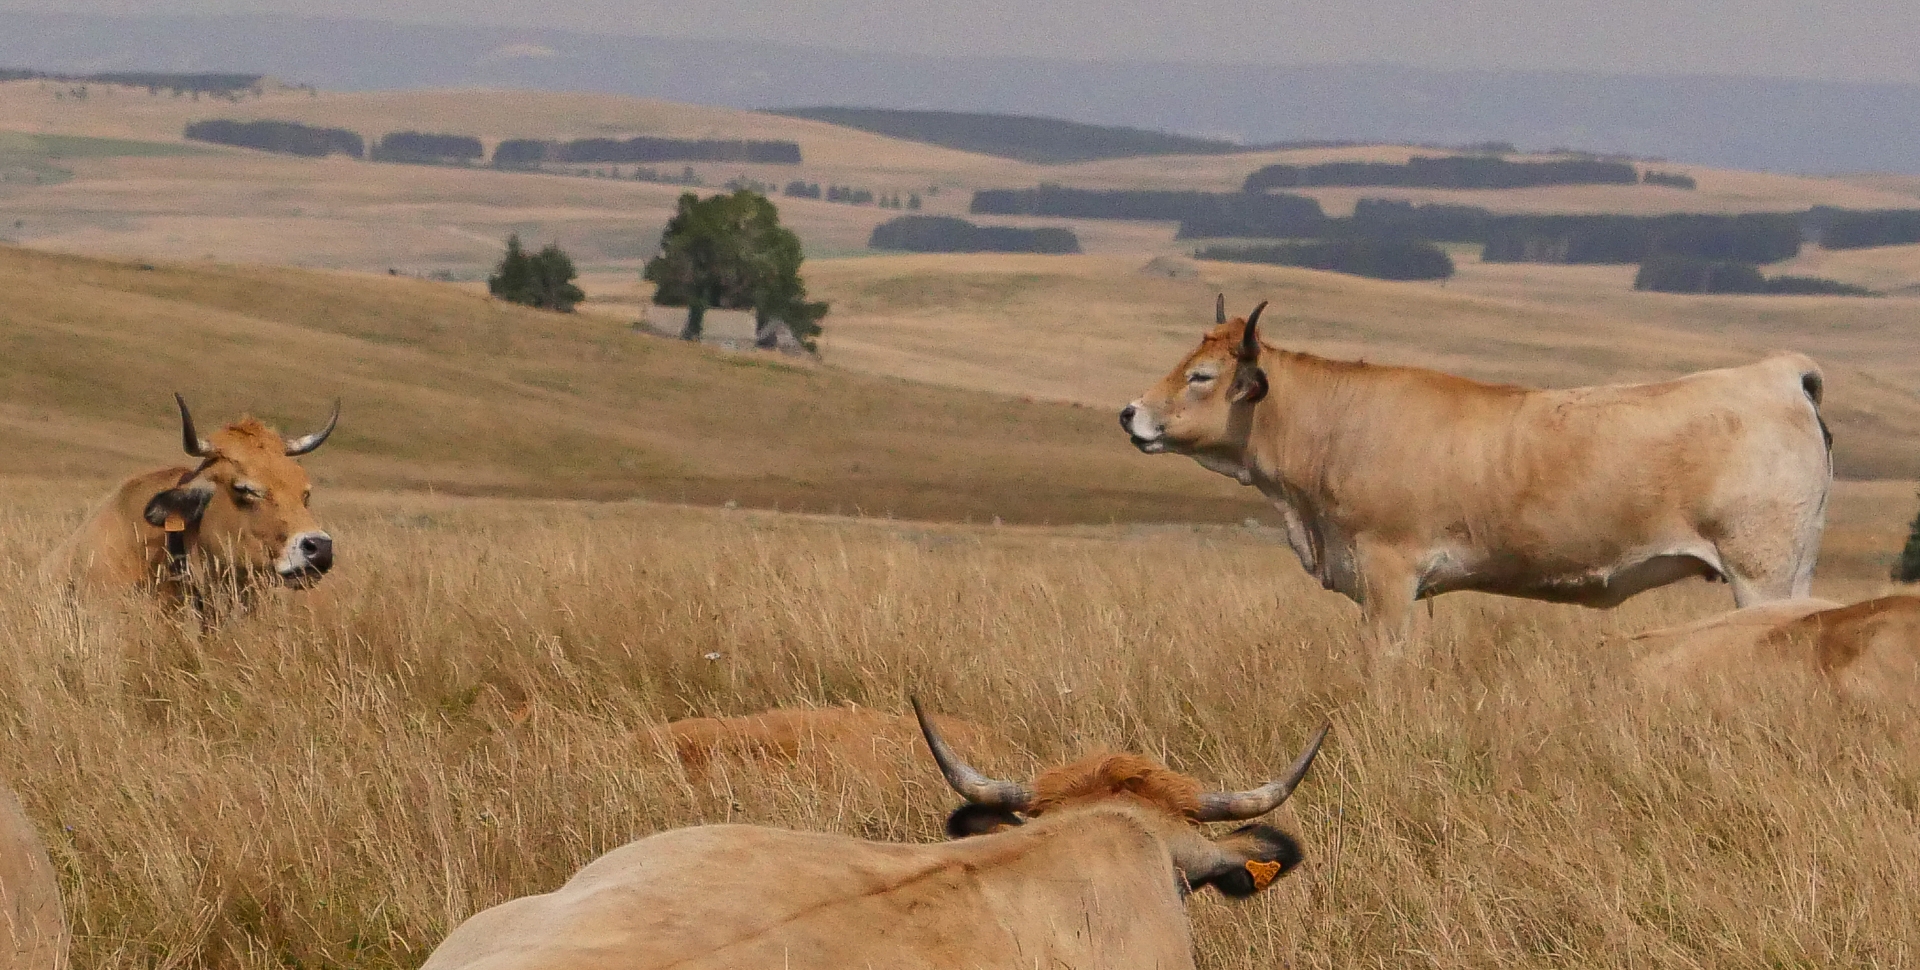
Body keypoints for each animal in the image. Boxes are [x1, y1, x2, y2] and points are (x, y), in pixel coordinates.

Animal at [1121, 296, 1831, 653]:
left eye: (1201, 376)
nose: (1130, 413)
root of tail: (1778, 372)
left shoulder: (1388, 570)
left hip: (1760, 570)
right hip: (1793, 569)